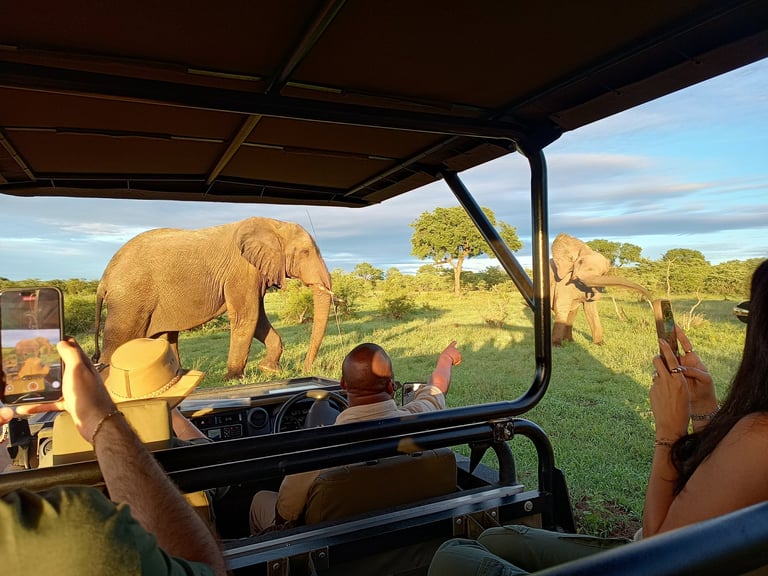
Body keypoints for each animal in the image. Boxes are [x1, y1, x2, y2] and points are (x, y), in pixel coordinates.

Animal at [93, 217, 333, 380]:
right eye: (305, 253)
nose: (306, 370)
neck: (274, 224)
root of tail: (104, 280)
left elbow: (257, 319)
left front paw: (268, 370)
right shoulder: (241, 270)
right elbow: (247, 316)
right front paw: (234, 378)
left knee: (165, 337)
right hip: (129, 300)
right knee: (120, 340)